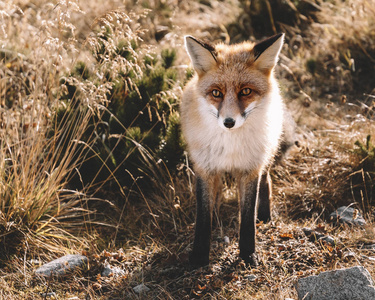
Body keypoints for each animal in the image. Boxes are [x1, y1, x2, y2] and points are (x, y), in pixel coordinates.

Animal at [182, 33, 296, 268]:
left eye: (246, 91)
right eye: (216, 93)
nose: (228, 122)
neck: (231, 147)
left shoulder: (250, 169)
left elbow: (247, 218)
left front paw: (248, 255)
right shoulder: (205, 169)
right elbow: (203, 217)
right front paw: (199, 257)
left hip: (266, 154)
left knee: (267, 181)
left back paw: (264, 215)